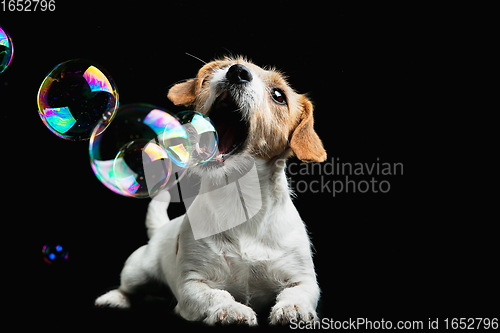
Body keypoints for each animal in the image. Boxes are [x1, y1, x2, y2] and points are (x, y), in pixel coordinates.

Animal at [95, 55, 326, 324]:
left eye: (279, 95)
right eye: (224, 67)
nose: (237, 72)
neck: (239, 202)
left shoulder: (303, 279)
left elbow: (296, 292)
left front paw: (293, 308)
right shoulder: (192, 284)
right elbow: (216, 295)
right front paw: (231, 309)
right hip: (137, 270)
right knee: (128, 287)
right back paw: (114, 298)